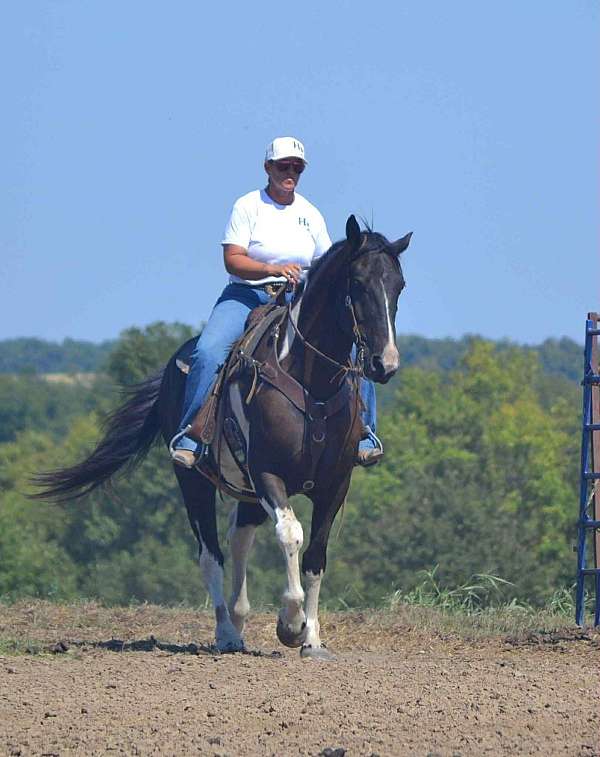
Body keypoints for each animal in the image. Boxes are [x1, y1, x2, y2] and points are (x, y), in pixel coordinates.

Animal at [34, 215, 411, 660]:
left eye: (398, 285)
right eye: (357, 282)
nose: (384, 364)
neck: (310, 383)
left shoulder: (335, 483)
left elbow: (315, 555)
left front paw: (313, 639)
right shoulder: (267, 474)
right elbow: (291, 534)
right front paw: (290, 625)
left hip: (244, 490)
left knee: (239, 539)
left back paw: (240, 618)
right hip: (193, 480)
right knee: (210, 554)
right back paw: (226, 632)